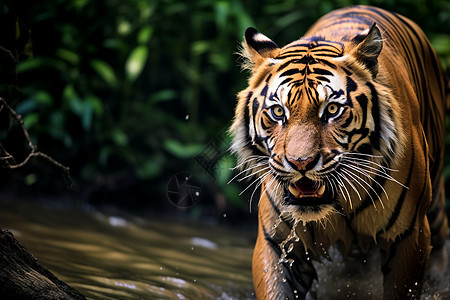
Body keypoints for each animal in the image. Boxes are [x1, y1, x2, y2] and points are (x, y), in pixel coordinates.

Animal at [230, 4, 448, 300]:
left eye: (332, 109)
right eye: (277, 112)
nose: (301, 163)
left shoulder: (409, 237)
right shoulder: (276, 243)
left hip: (433, 207)